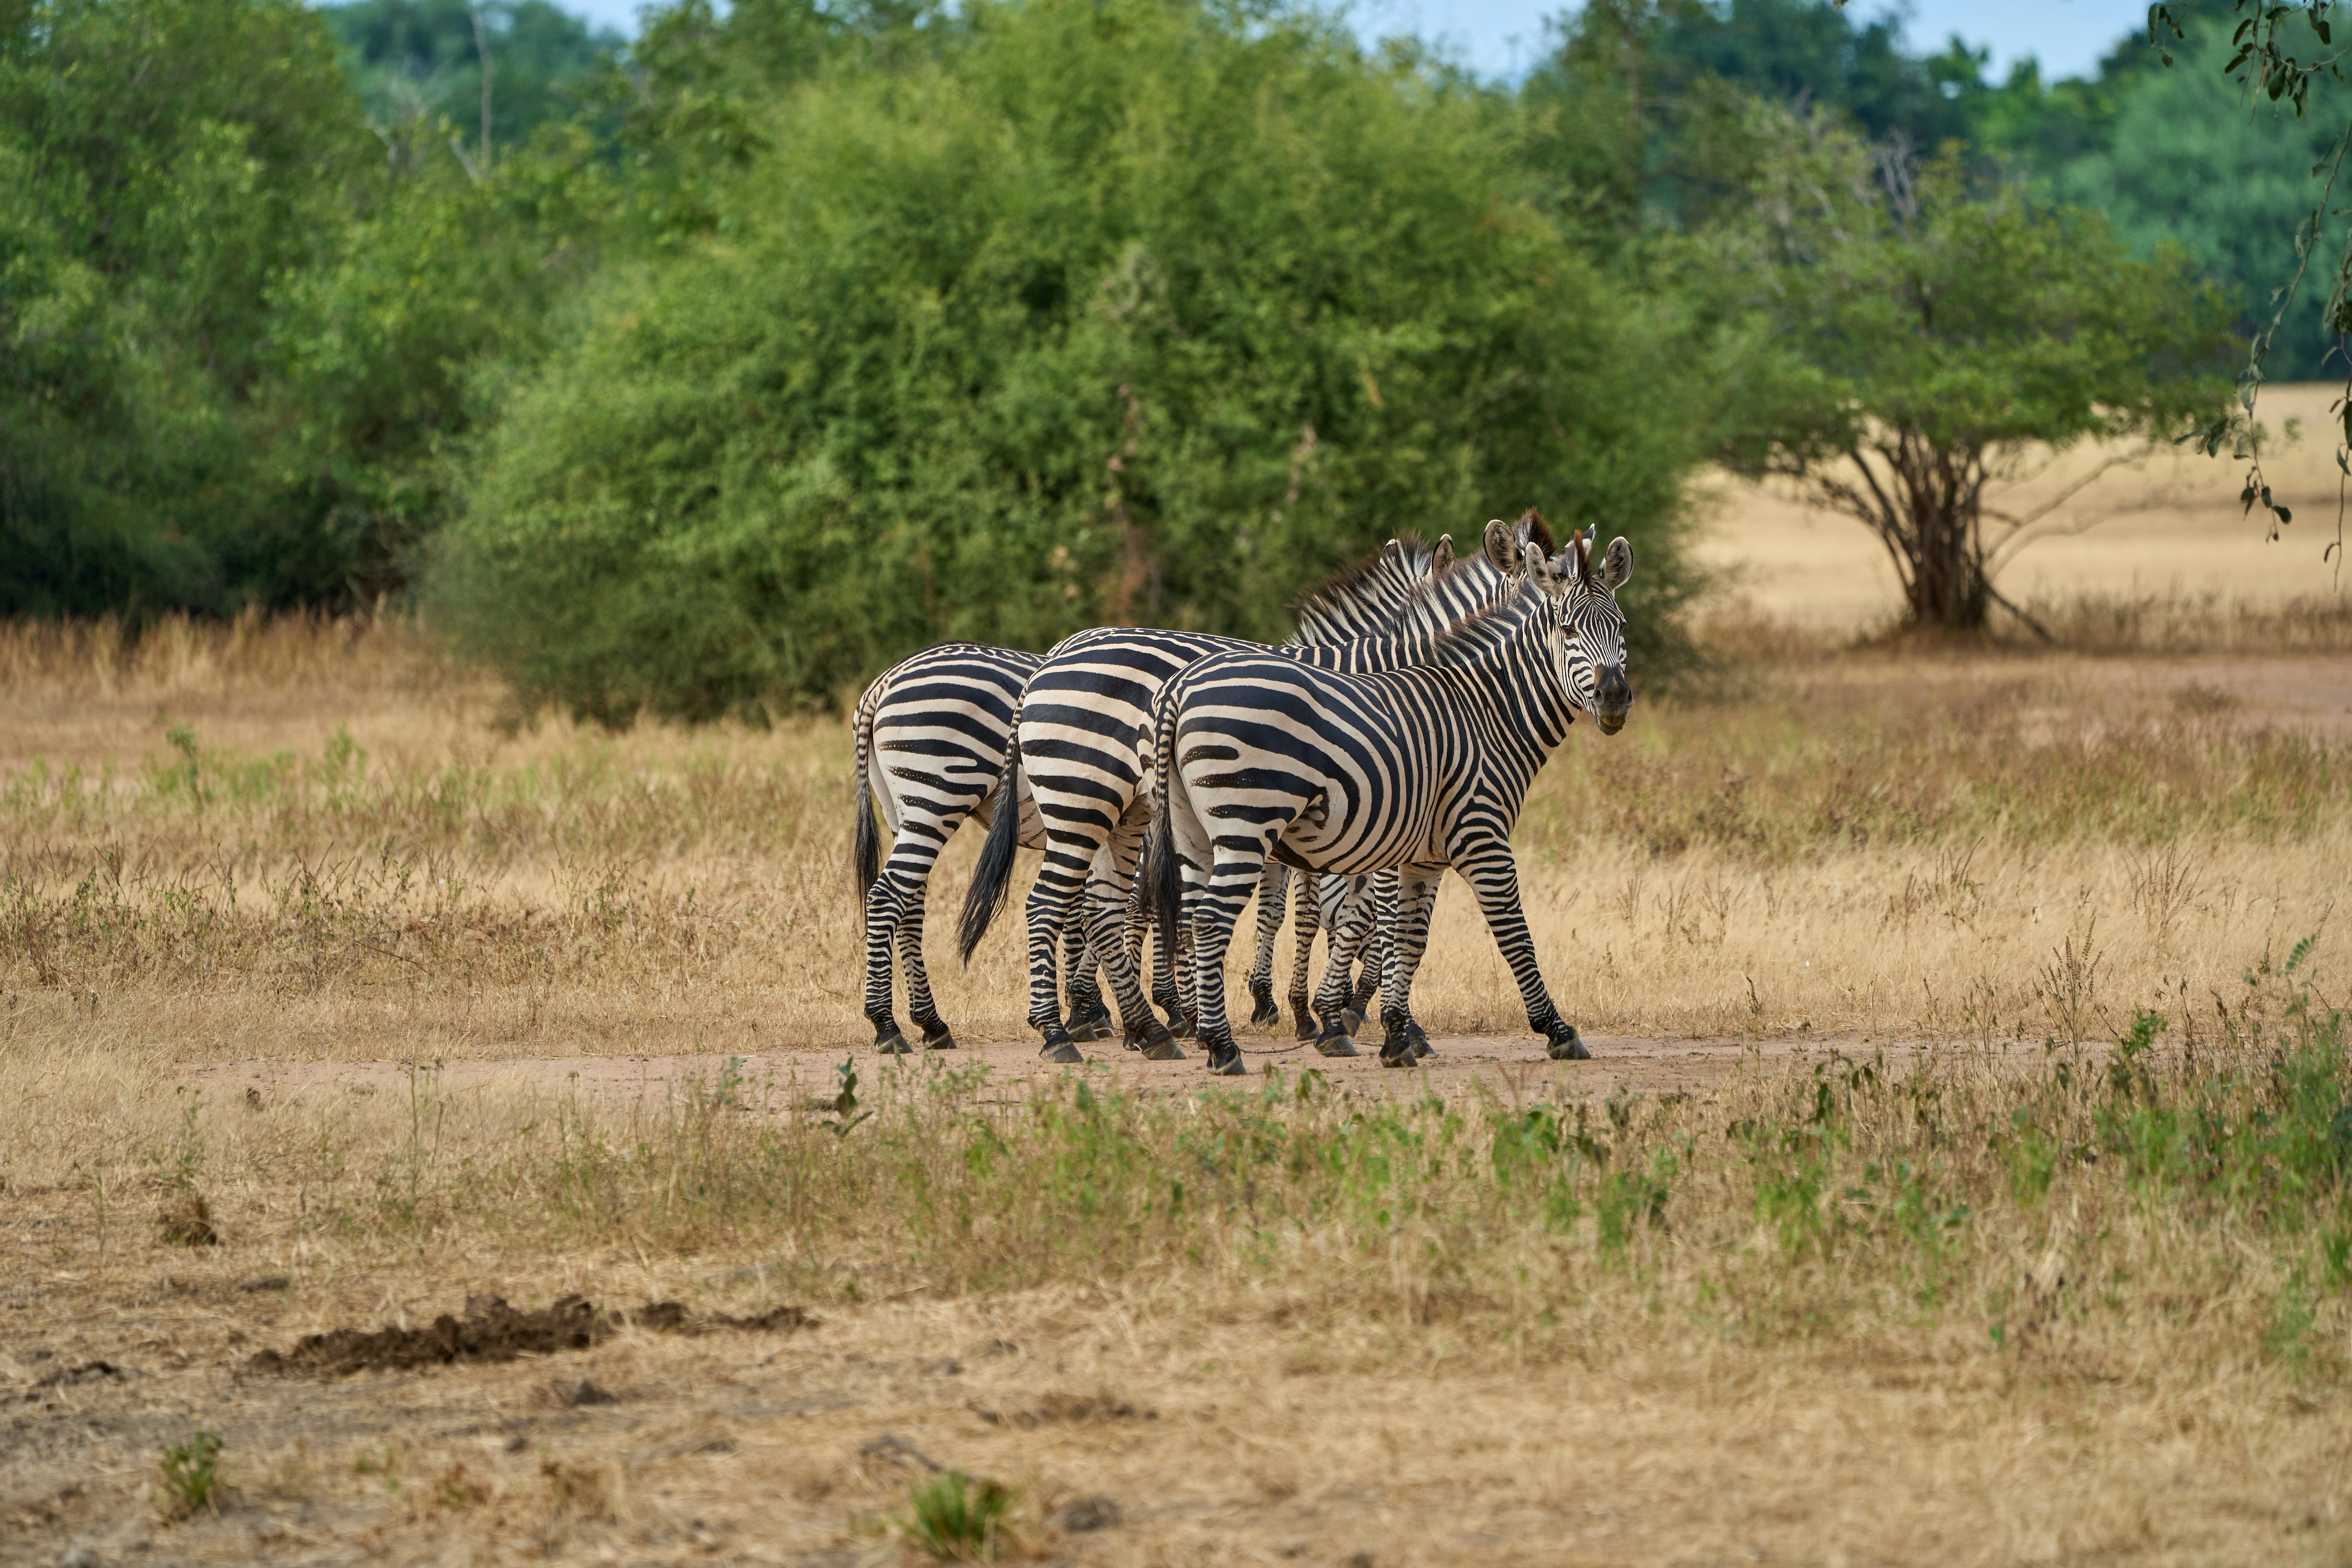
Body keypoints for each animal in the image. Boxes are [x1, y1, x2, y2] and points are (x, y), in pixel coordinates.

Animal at [853, 643, 1111, 1054]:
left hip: (900, 810)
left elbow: (1078, 913)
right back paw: (887, 1026)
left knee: (908, 903)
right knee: (886, 897)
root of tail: (885, 681)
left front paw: (1085, 1011)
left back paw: (932, 1024)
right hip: (936, 795)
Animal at [956, 521, 1547, 1065]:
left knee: (1099, 904)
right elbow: (1349, 915)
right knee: (1066, 903)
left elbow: (1307, 913)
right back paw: (1072, 1027)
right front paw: (1339, 1013)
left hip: (1117, 811)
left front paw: (1313, 1009)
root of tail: (1051, 661)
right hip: (1082, 797)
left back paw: (1129, 1023)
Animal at [1147, 524, 1635, 1074]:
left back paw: (1190, 1026)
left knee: (1186, 915)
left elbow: (1407, 938)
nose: (1615, 697)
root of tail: (1180, 688)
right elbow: (1511, 932)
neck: (1487, 709)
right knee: (1208, 920)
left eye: (1620, 627)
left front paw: (1395, 1034)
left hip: (1192, 830)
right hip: (1244, 824)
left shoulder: (1422, 855)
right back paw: (1217, 1044)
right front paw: (1556, 1030)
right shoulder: (1481, 837)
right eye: (1567, 630)